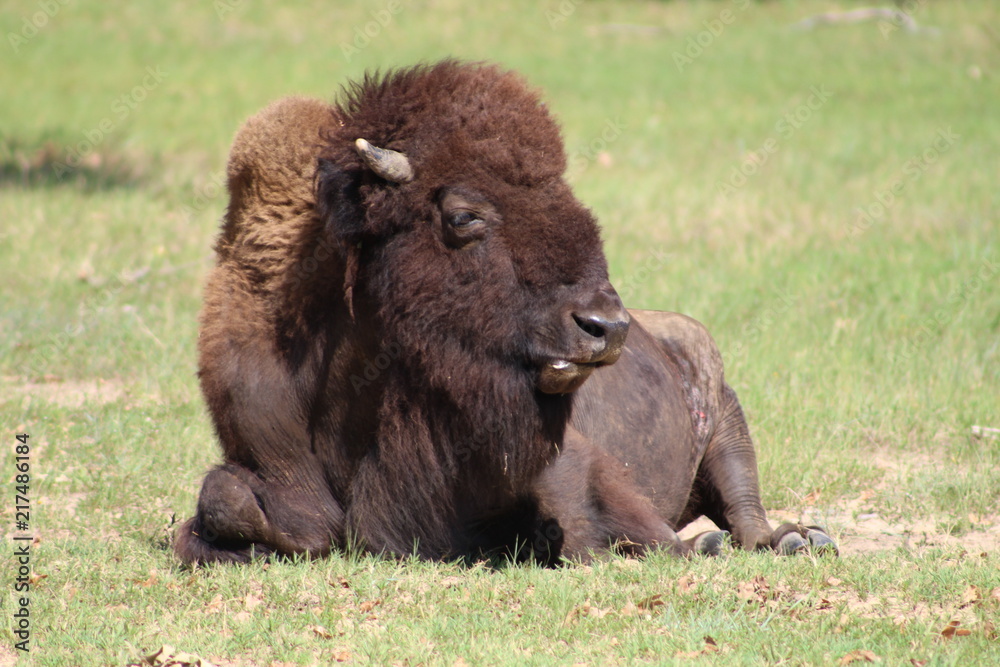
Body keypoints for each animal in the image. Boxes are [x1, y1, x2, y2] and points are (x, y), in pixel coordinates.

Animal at [178, 60, 836, 568]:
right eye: (465, 215)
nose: (606, 327)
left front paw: (685, 546)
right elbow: (226, 502)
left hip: (727, 420)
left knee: (745, 509)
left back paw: (794, 539)